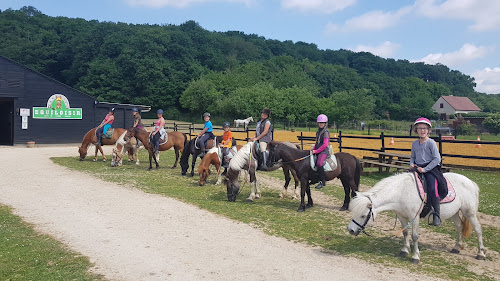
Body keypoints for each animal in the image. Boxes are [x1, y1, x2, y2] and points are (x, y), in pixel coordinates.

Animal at [348, 171, 484, 262]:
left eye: (363, 215)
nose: (351, 230)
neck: (401, 192)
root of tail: (470, 182)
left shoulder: (415, 217)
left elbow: (414, 236)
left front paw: (415, 256)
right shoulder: (402, 216)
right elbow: (405, 233)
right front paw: (404, 250)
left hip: (469, 212)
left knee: (478, 229)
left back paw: (481, 253)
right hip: (455, 212)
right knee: (459, 227)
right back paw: (456, 247)